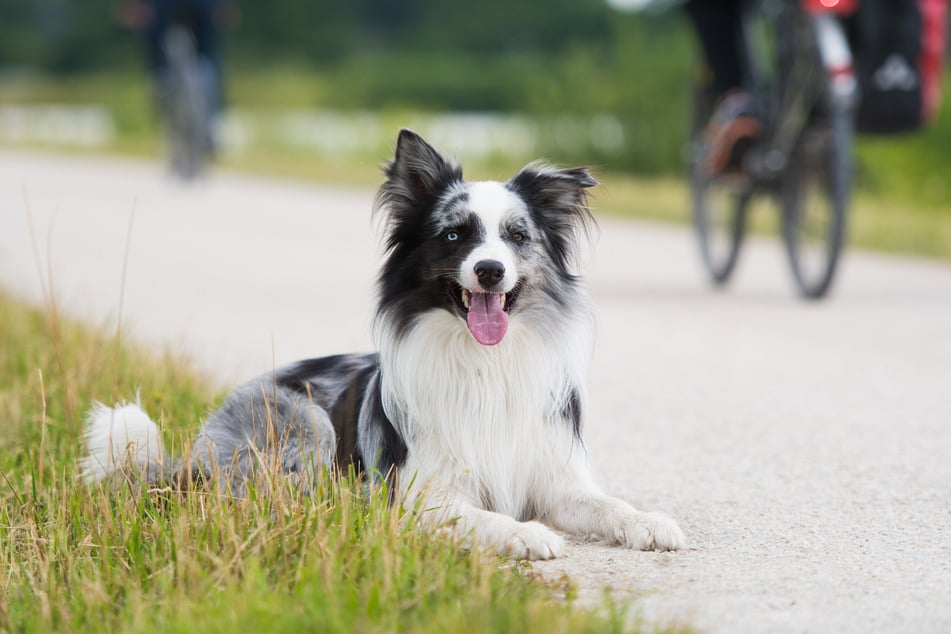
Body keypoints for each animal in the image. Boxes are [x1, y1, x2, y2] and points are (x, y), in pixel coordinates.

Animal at [82, 127, 684, 556]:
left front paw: (649, 523)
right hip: (306, 423)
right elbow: (483, 517)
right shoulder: (424, 496)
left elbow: (607, 504)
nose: (489, 271)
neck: (485, 362)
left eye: (517, 237)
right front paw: (526, 533)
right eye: (454, 235)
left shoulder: (555, 476)